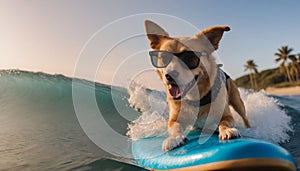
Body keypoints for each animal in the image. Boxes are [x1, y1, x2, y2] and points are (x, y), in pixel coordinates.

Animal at [144, 19, 250, 152]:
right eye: (163, 57)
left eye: (190, 58)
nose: (169, 75)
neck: (195, 97)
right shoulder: (174, 119)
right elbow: (174, 127)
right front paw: (174, 138)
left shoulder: (227, 116)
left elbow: (224, 122)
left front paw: (227, 130)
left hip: (237, 102)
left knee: (244, 116)